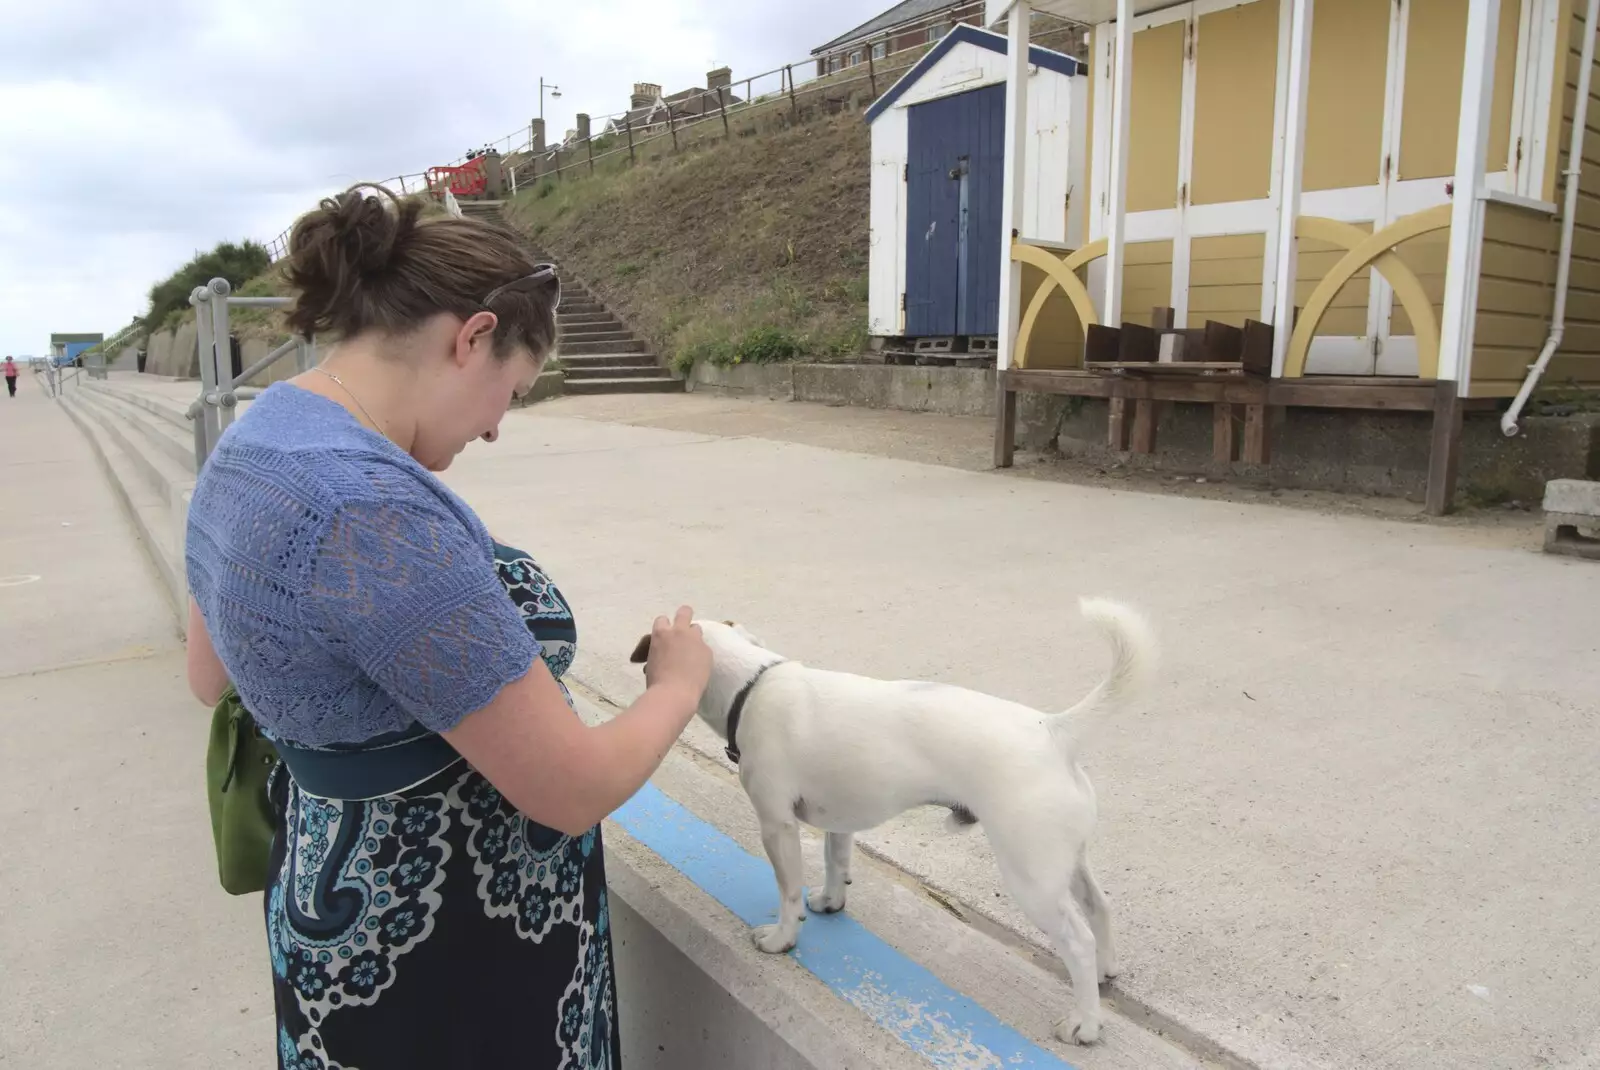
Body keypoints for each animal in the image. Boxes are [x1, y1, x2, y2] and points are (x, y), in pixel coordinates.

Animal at [630, 598, 1158, 1049]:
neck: (751, 685)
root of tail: (1055, 729)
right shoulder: (839, 818)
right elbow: (834, 861)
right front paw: (830, 901)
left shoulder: (776, 826)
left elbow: (787, 890)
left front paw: (783, 938)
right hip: (1064, 860)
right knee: (1099, 907)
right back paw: (1105, 974)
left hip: (1031, 877)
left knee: (1078, 940)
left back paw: (1085, 1023)